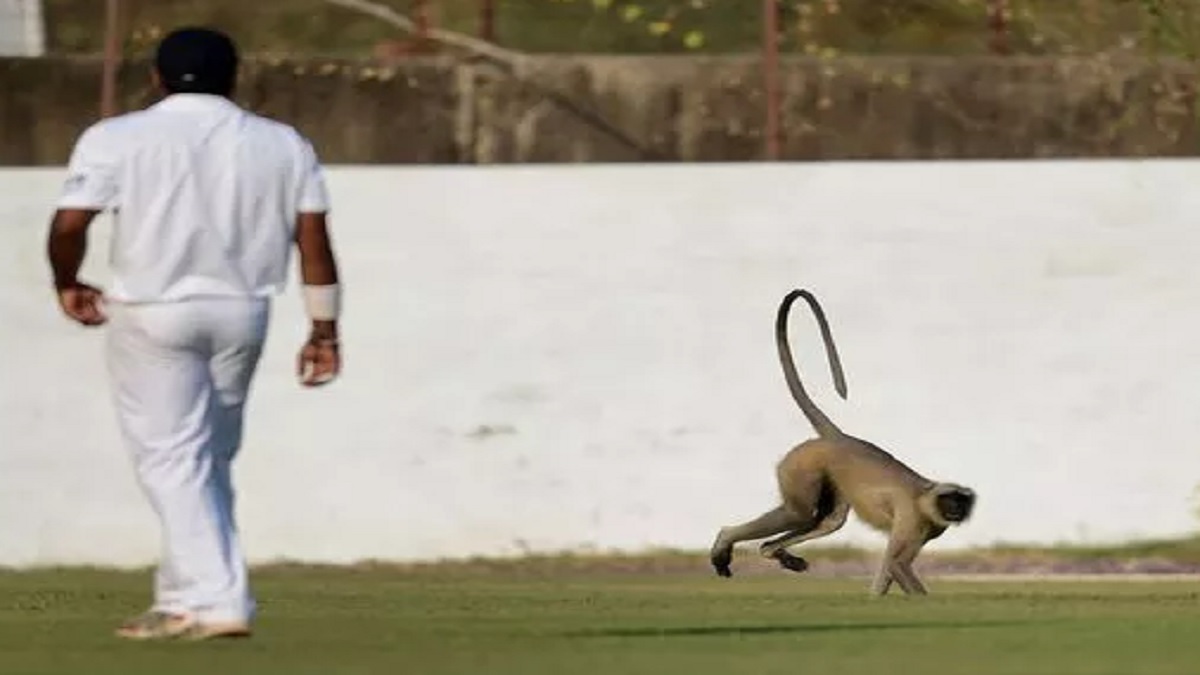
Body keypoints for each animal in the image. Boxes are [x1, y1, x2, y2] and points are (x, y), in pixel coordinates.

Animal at [709, 289, 976, 596]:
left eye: (961, 501)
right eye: (950, 500)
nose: (957, 510)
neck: (924, 495)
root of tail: (839, 438)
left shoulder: (929, 526)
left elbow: (888, 562)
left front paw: (874, 600)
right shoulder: (913, 517)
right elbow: (897, 563)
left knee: (827, 522)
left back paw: (771, 550)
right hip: (800, 464)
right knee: (798, 514)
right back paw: (727, 538)